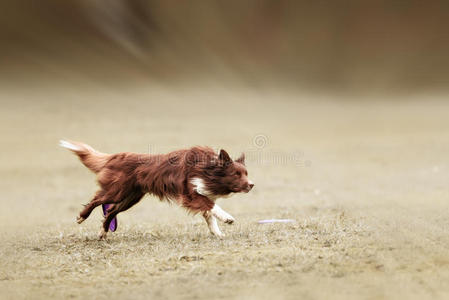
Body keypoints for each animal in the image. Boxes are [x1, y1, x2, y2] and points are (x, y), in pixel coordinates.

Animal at [60, 140, 254, 239]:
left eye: (246, 173)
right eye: (236, 174)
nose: (252, 184)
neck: (207, 168)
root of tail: (116, 157)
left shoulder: (203, 194)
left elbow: (210, 215)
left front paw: (218, 233)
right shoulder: (190, 194)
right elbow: (211, 207)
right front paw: (227, 218)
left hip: (130, 198)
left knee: (111, 211)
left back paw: (102, 233)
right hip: (117, 192)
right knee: (97, 200)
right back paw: (81, 217)